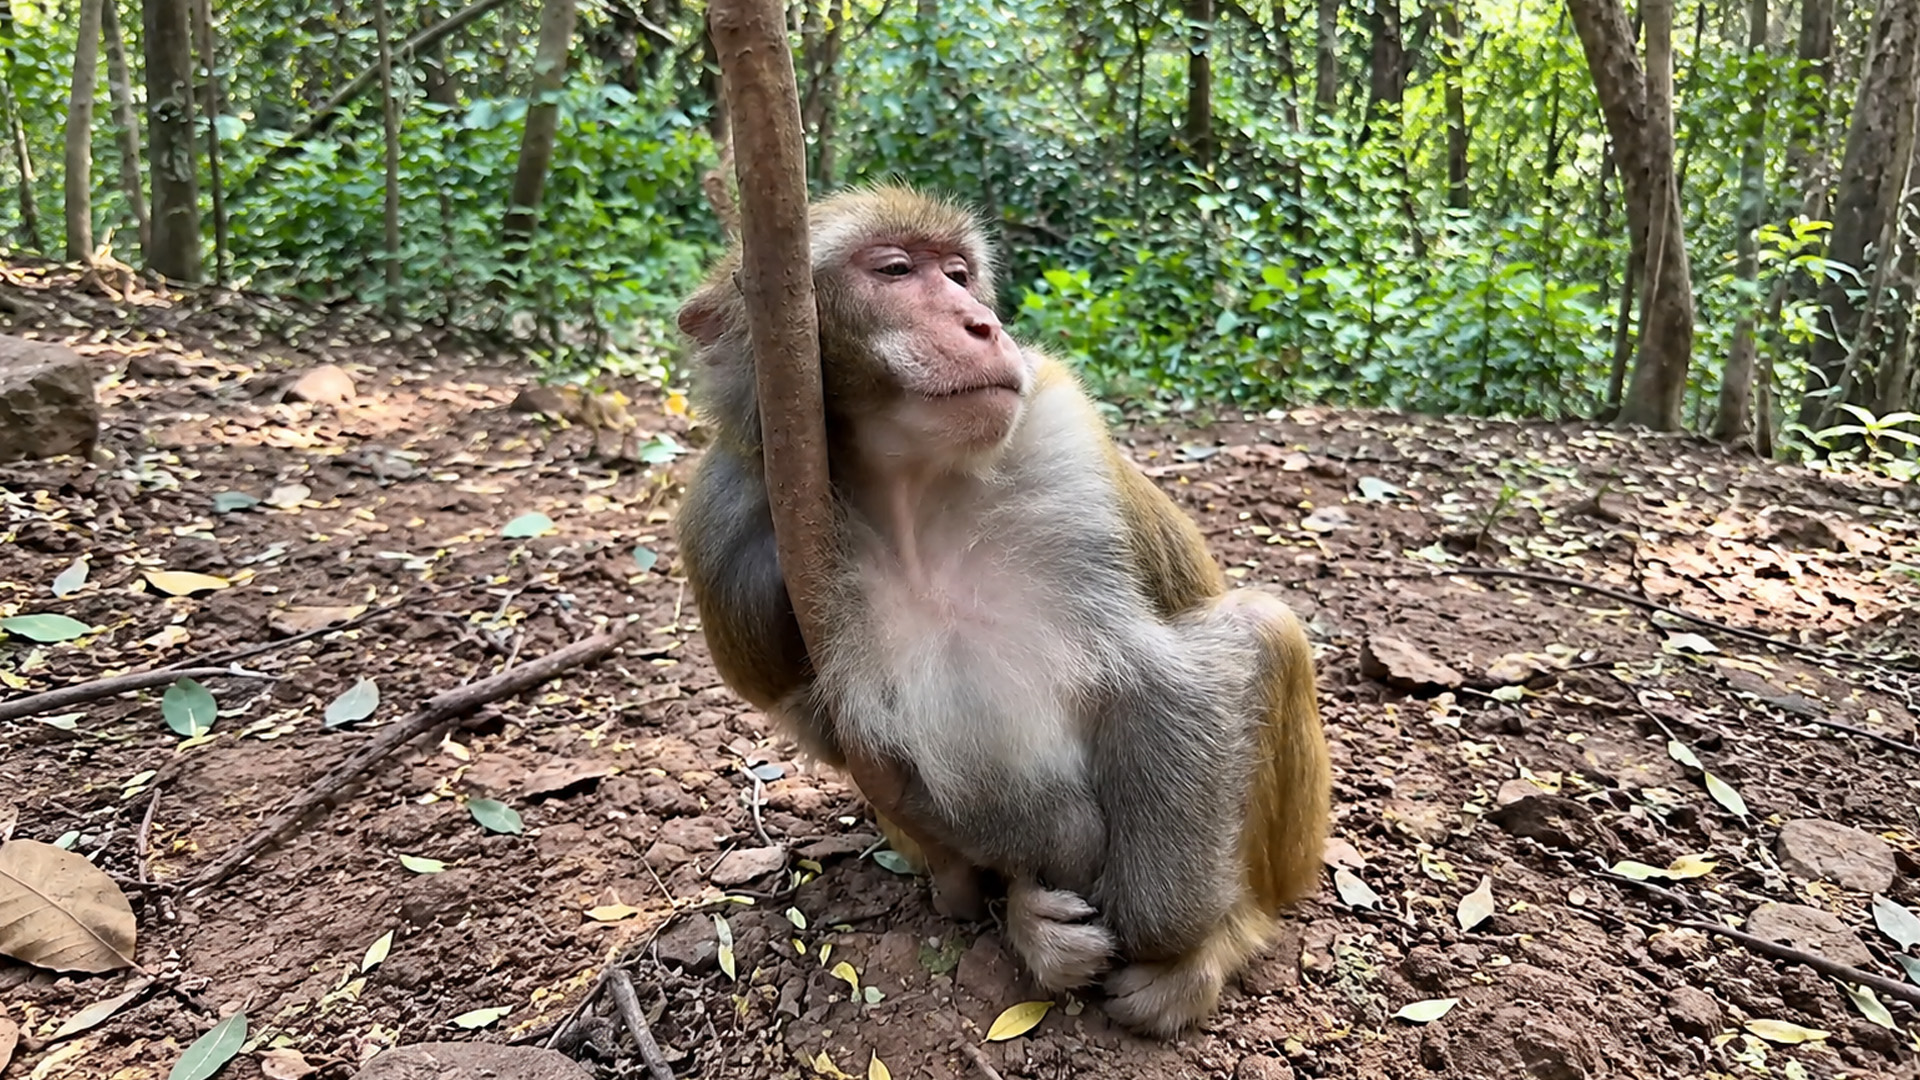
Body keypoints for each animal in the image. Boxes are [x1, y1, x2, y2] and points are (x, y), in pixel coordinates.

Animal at [671, 184, 1331, 1036]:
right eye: (895, 270)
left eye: (958, 275)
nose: (984, 324)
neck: (909, 490)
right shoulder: (723, 529)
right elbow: (834, 733)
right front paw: (1041, 869)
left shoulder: (1060, 435)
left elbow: (1186, 670)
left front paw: (1167, 933)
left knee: (1266, 630)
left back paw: (1228, 933)